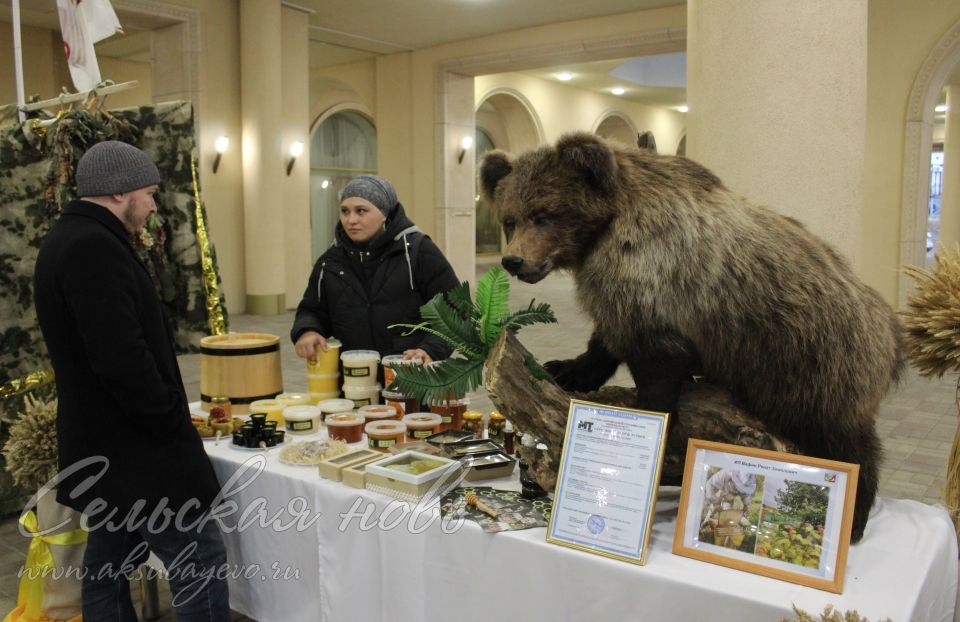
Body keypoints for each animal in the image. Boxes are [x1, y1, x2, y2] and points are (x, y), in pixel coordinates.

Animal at [484, 134, 904, 544]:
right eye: (510, 219)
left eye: (544, 215)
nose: (513, 261)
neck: (605, 229)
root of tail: (889, 326)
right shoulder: (624, 294)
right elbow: (608, 338)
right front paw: (566, 368)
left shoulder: (658, 282)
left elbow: (657, 365)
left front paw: (650, 422)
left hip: (812, 359)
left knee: (843, 439)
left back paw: (853, 519)